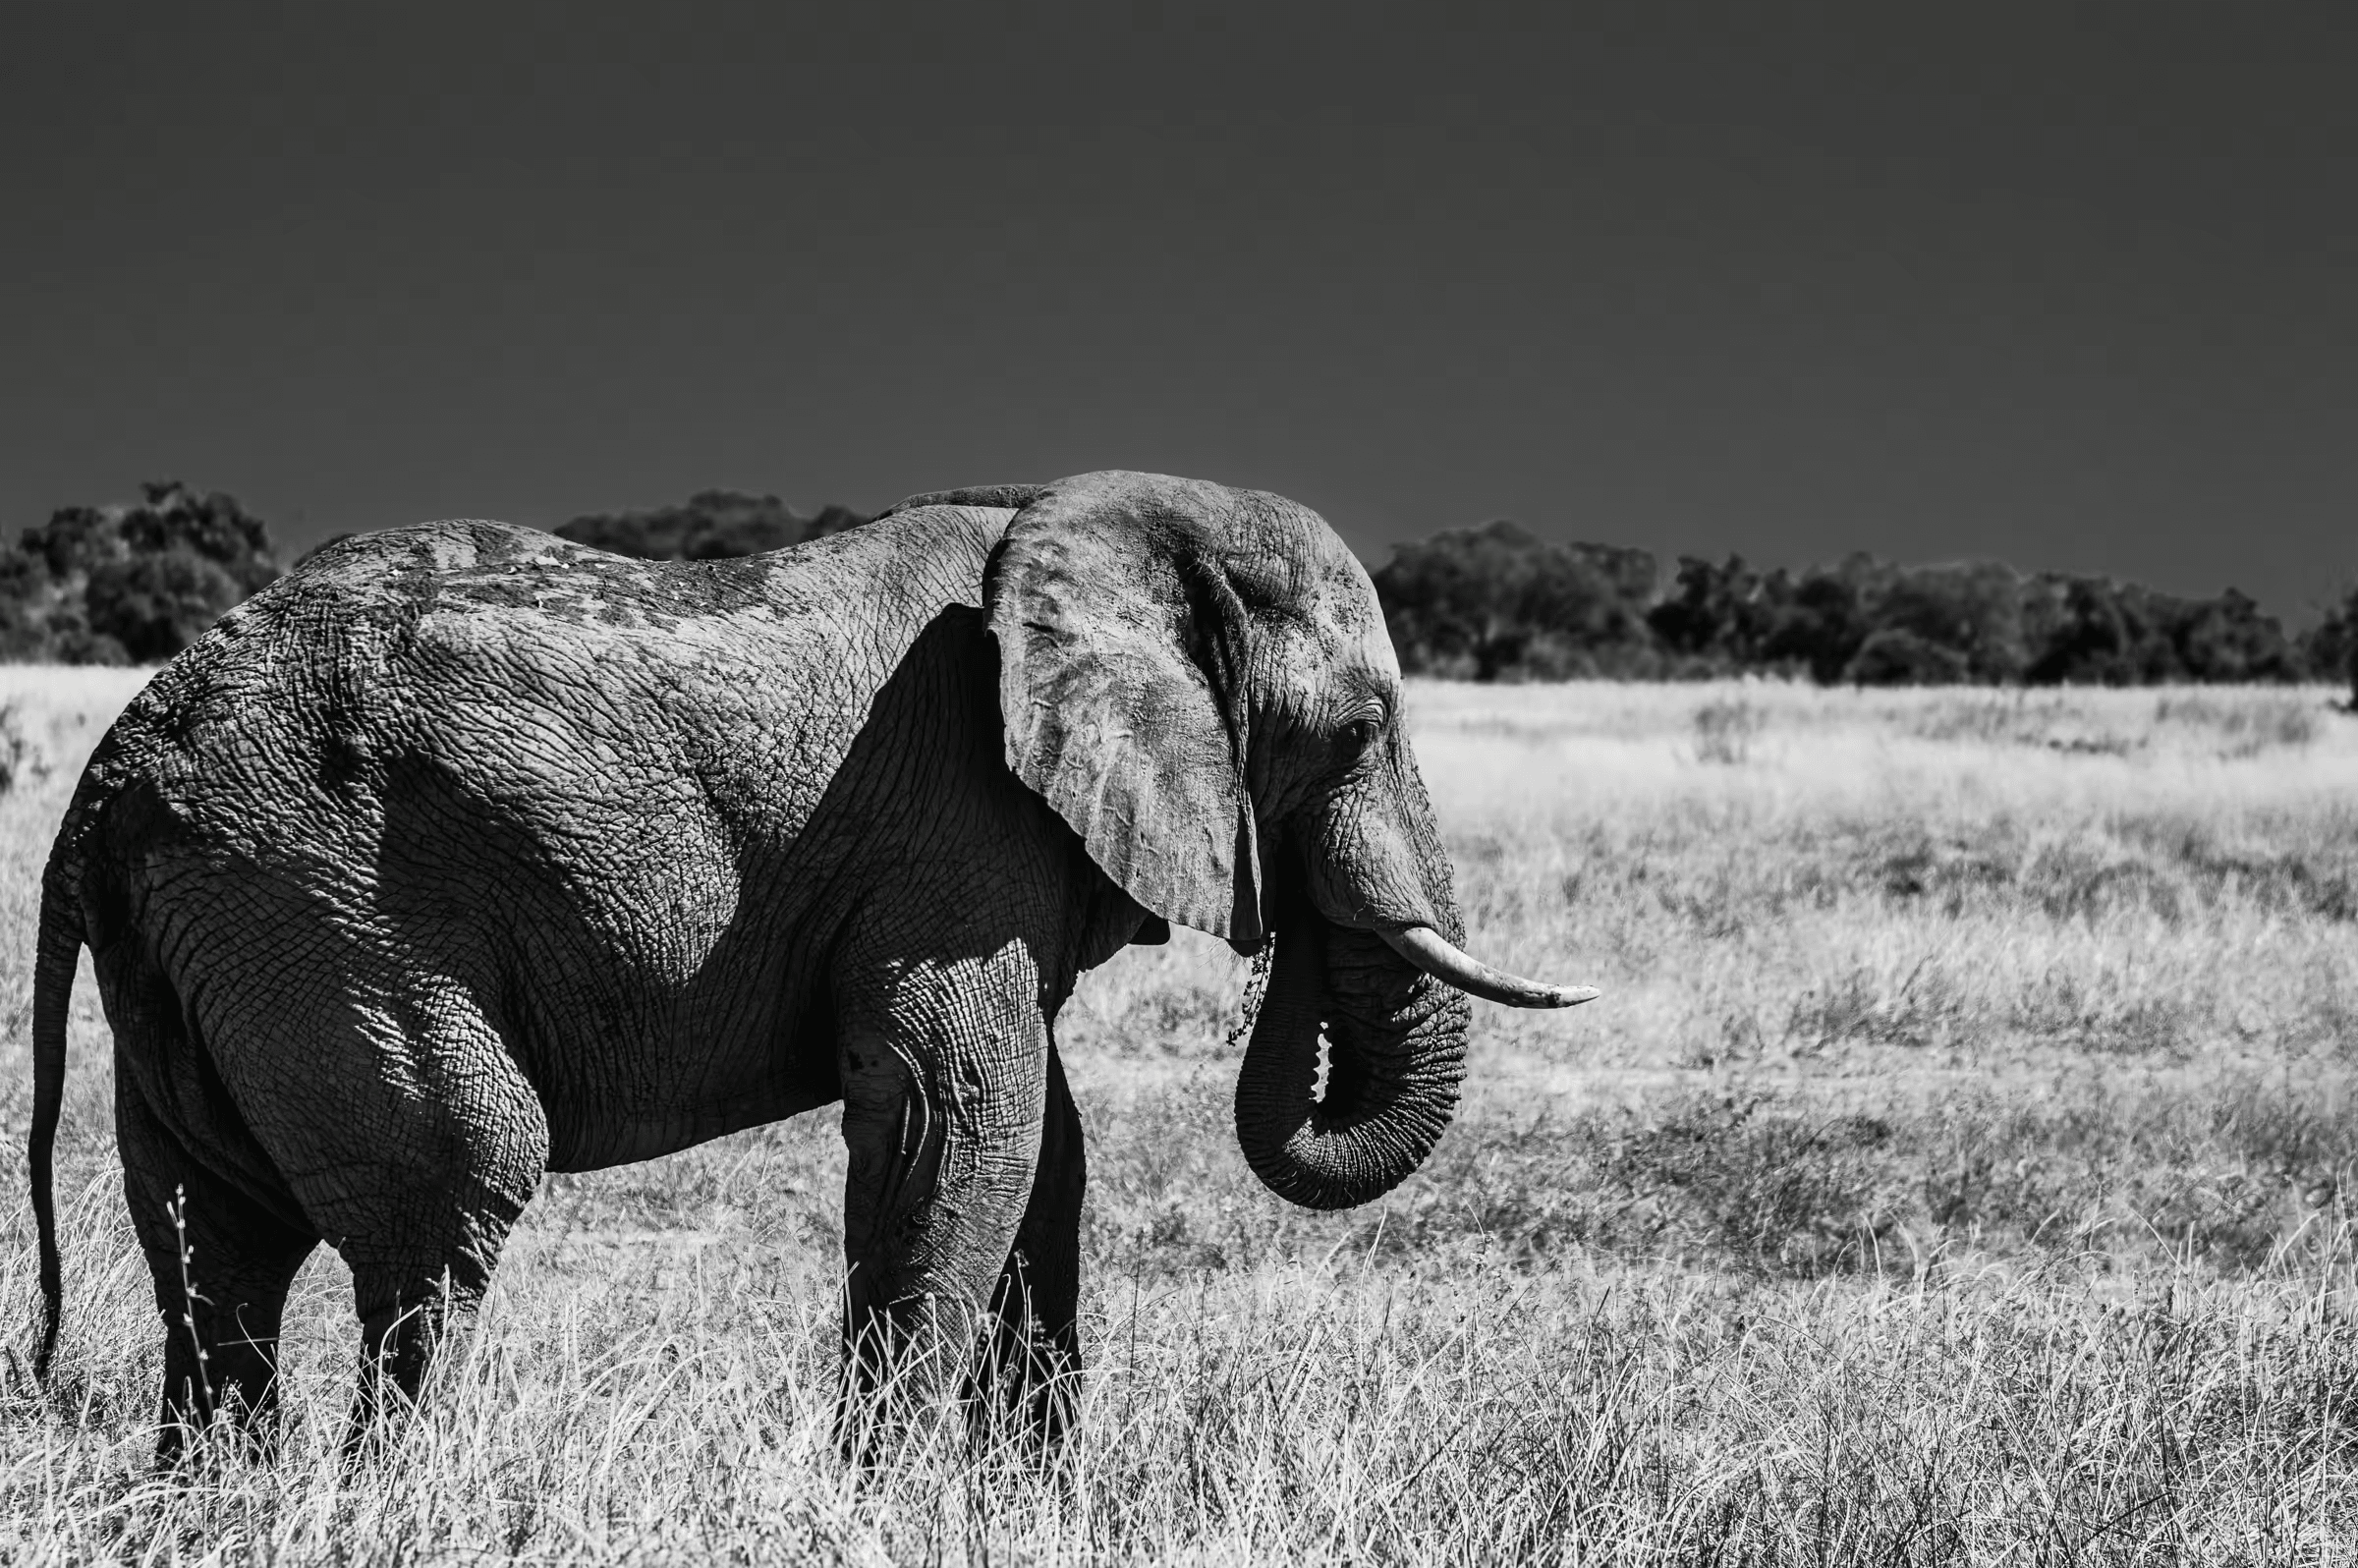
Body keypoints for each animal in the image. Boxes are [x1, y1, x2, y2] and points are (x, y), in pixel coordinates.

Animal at [18, 464, 1594, 1452]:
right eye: (1360, 730)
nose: (1286, 945)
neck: (1089, 513)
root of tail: (107, 773)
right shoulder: (955, 826)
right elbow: (963, 1114)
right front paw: (883, 1499)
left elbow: (1045, 1149)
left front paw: (1021, 1506)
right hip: (312, 900)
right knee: (454, 1183)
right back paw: (402, 1499)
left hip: (213, 935)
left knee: (215, 1232)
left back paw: (224, 1502)